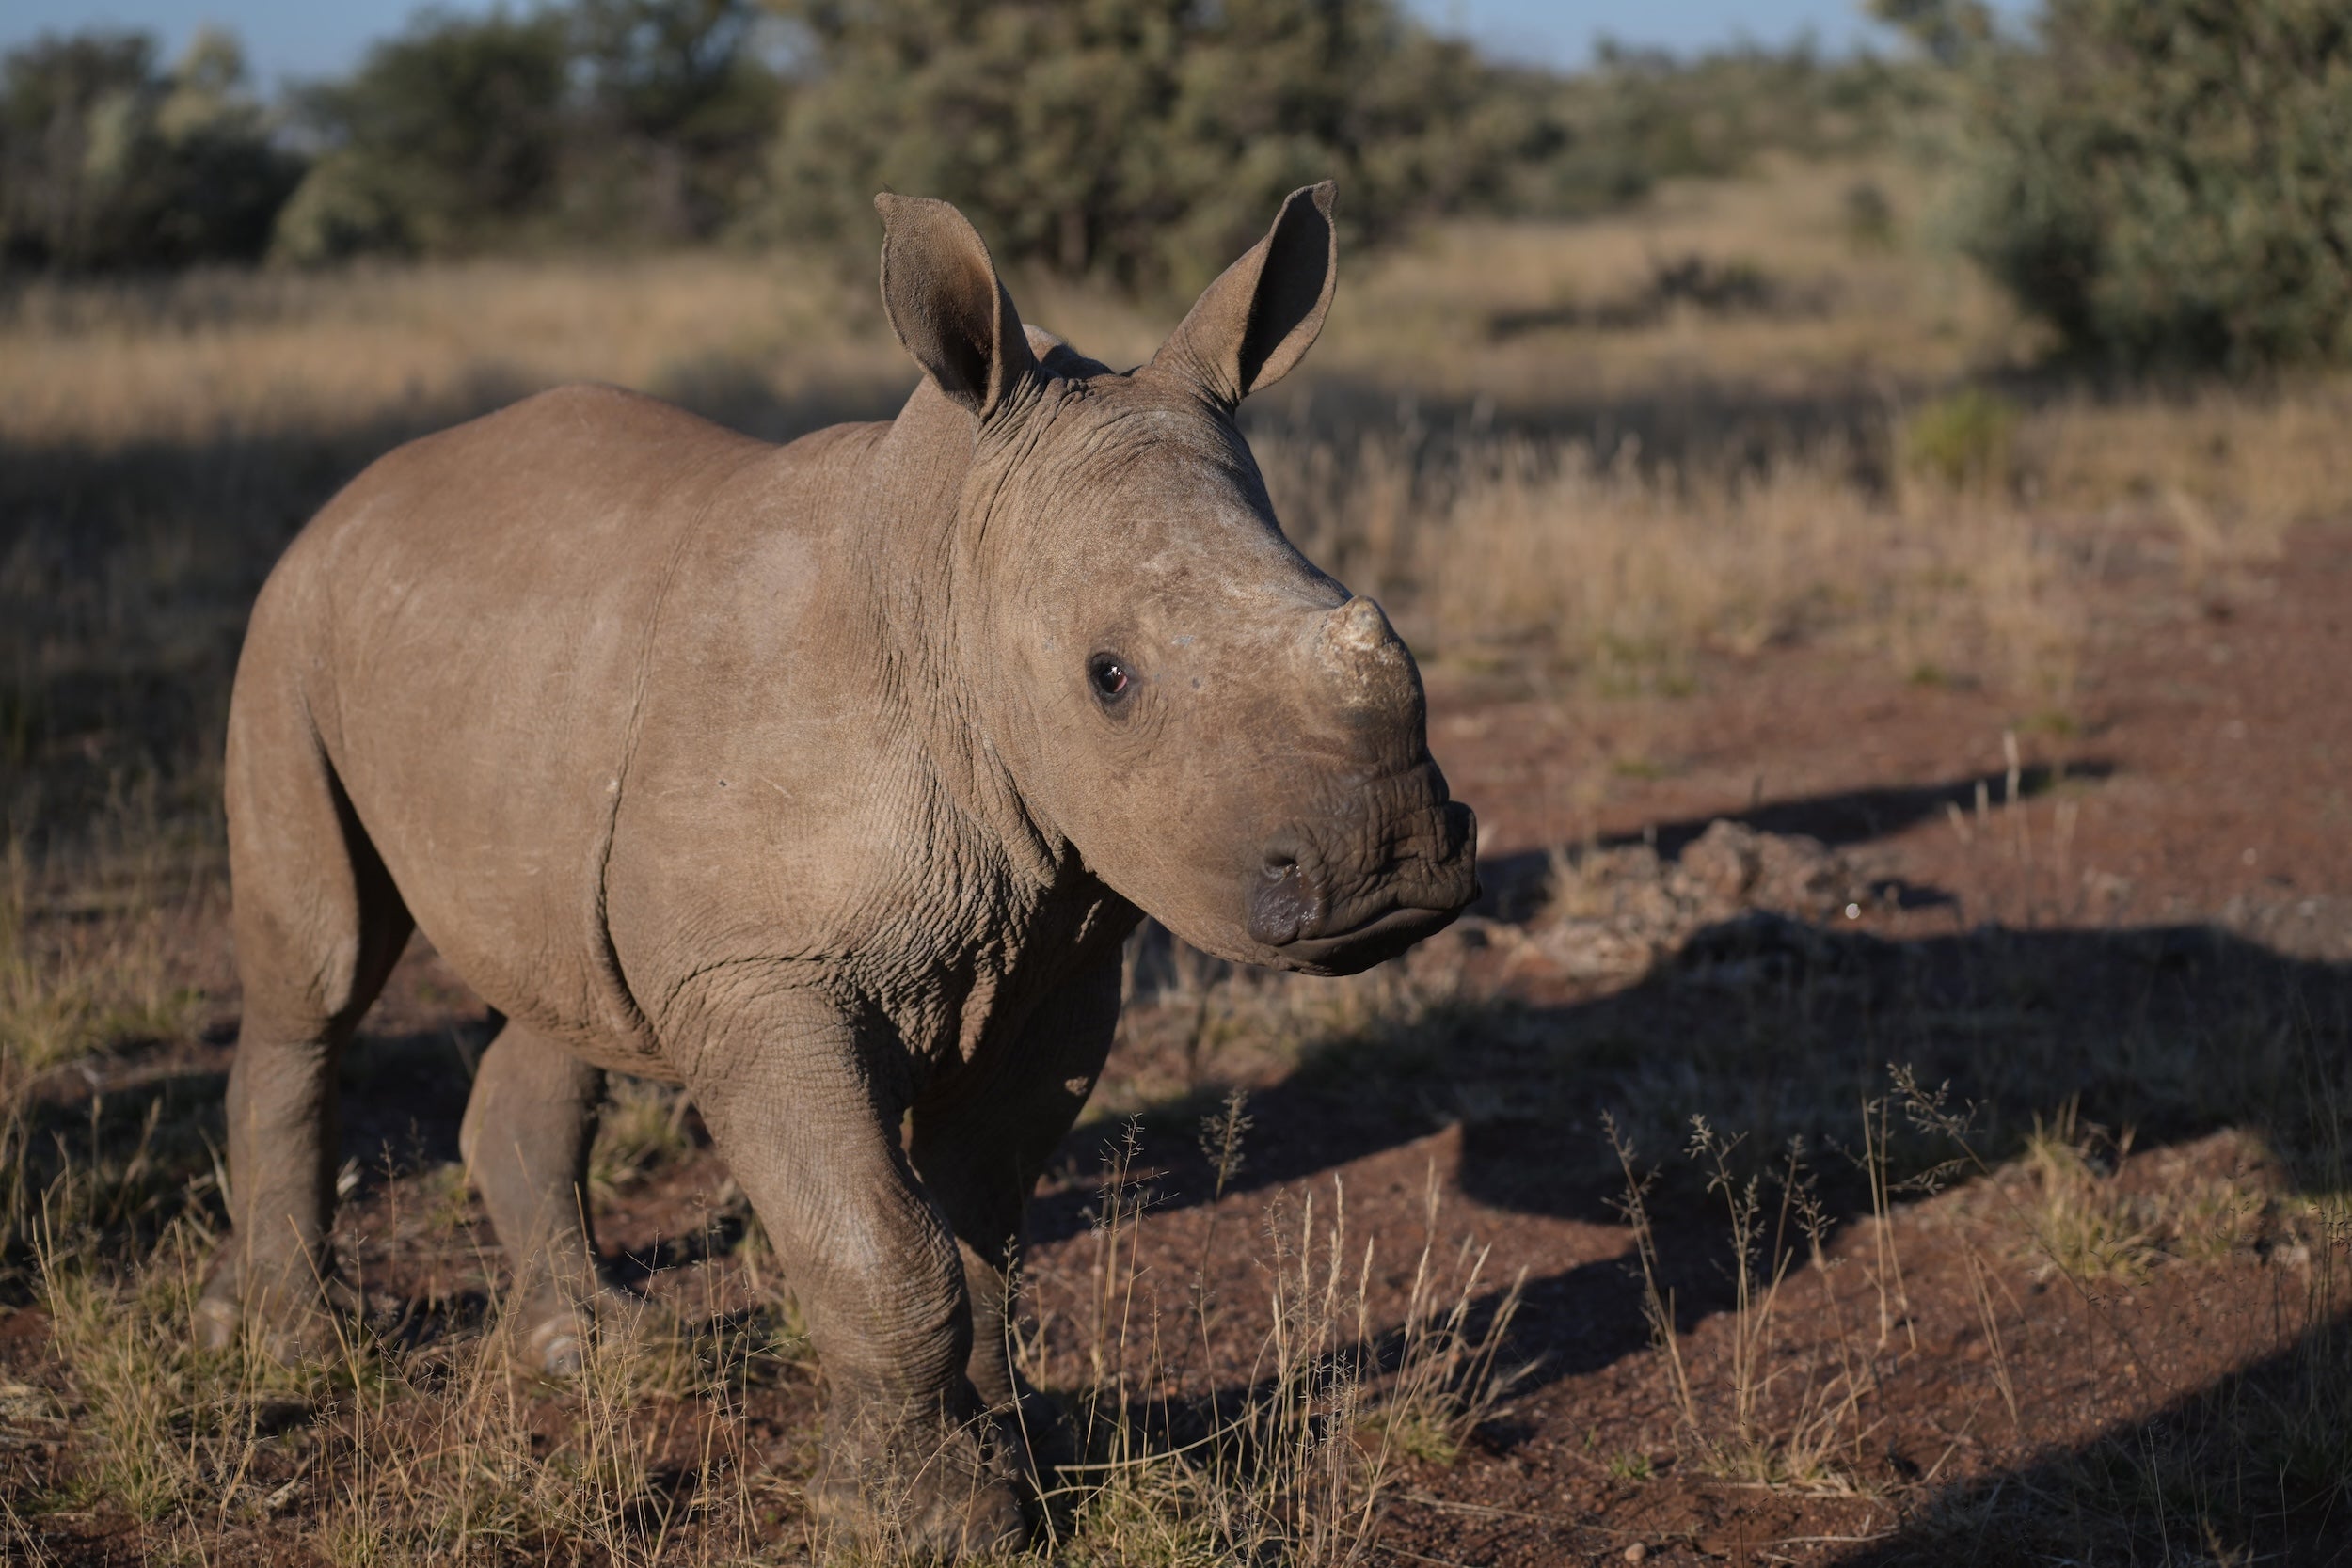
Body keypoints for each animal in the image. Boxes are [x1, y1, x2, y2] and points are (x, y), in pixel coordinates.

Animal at [199, 183, 1478, 1555]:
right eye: (1110, 677)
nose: (1388, 859)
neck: (944, 577)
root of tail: (358, 494)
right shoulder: (768, 968)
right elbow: (879, 1243)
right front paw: (917, 1520)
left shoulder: (1059, 956)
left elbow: (981, 1227)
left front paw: (1023, 1468)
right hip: (294, 621)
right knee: (323, 966)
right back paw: (295, 1343)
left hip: (526, 678)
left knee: (568, 981)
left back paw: (588, 1348)